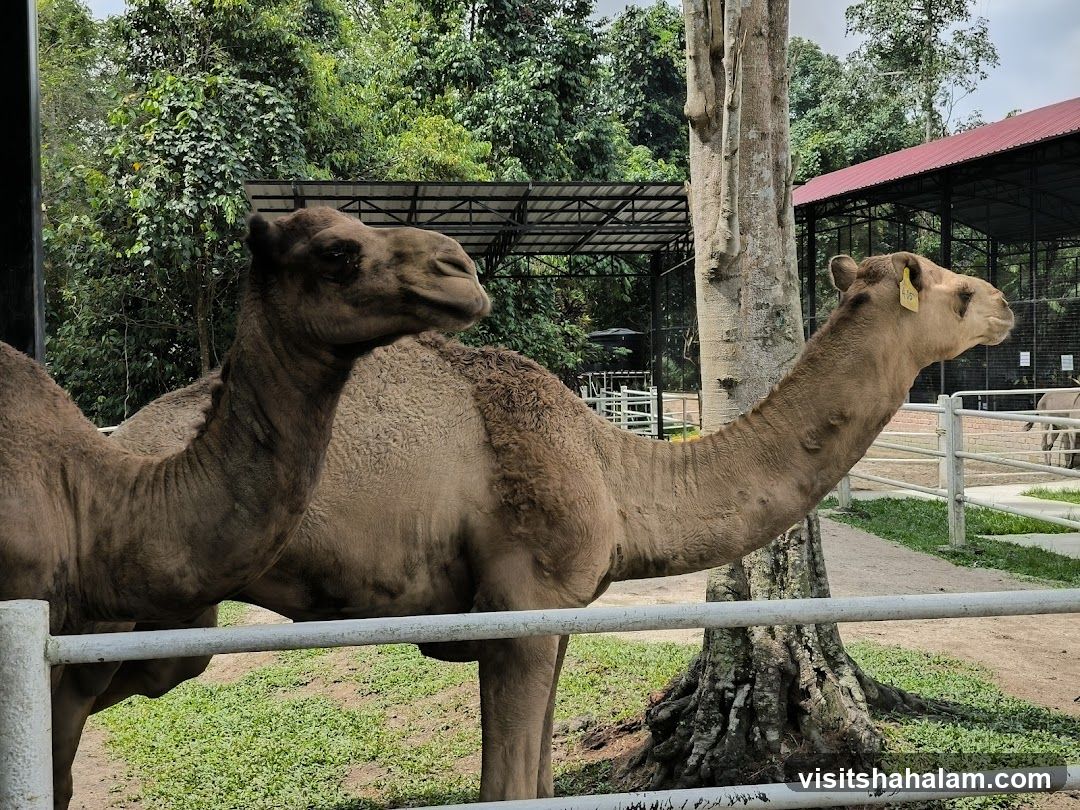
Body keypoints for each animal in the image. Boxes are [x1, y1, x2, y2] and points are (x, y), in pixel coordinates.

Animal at [83, 251, 1011, 803]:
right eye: (957, 290)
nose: (1004, 305)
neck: (610, 466)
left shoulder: (557, 615)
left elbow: (535, 782)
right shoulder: (518, 611)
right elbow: (504, 787)